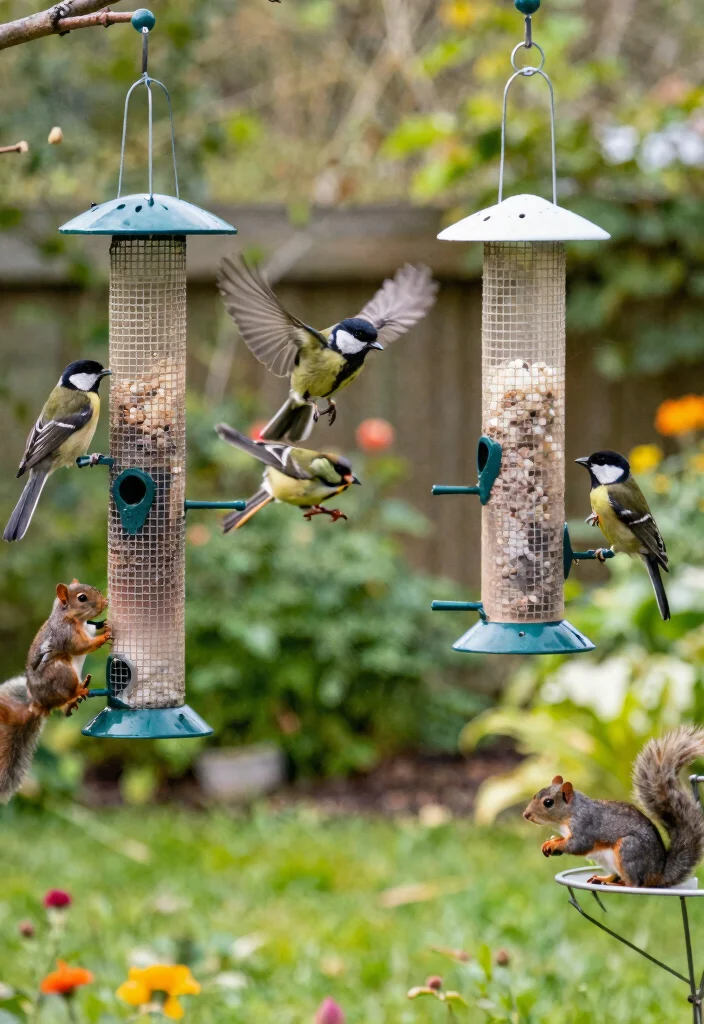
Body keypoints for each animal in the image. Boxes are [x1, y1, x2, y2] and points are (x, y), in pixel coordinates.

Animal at [0, 580, 110, 804]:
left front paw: (103, 624)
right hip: (61, 672)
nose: (104, 602)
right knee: (65, 695)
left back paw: (77, 697)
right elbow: (81, 646)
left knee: (63, 706)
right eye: (82, 598)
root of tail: (38, 704)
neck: (73, 618)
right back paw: (78, 692)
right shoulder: (65, 635)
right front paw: (105, 635)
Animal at [523, 726, 704, 887]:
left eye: (548, 802)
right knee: (617, 875)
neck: (571, 813)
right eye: (535, 795)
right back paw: (604, 878)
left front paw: (554, 844)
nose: (526, 815)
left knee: (634, 884)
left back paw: (618, 884)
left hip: (627, 850)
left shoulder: (584, 826)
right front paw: (551, 841)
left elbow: (579, 845)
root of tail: (657, 874)